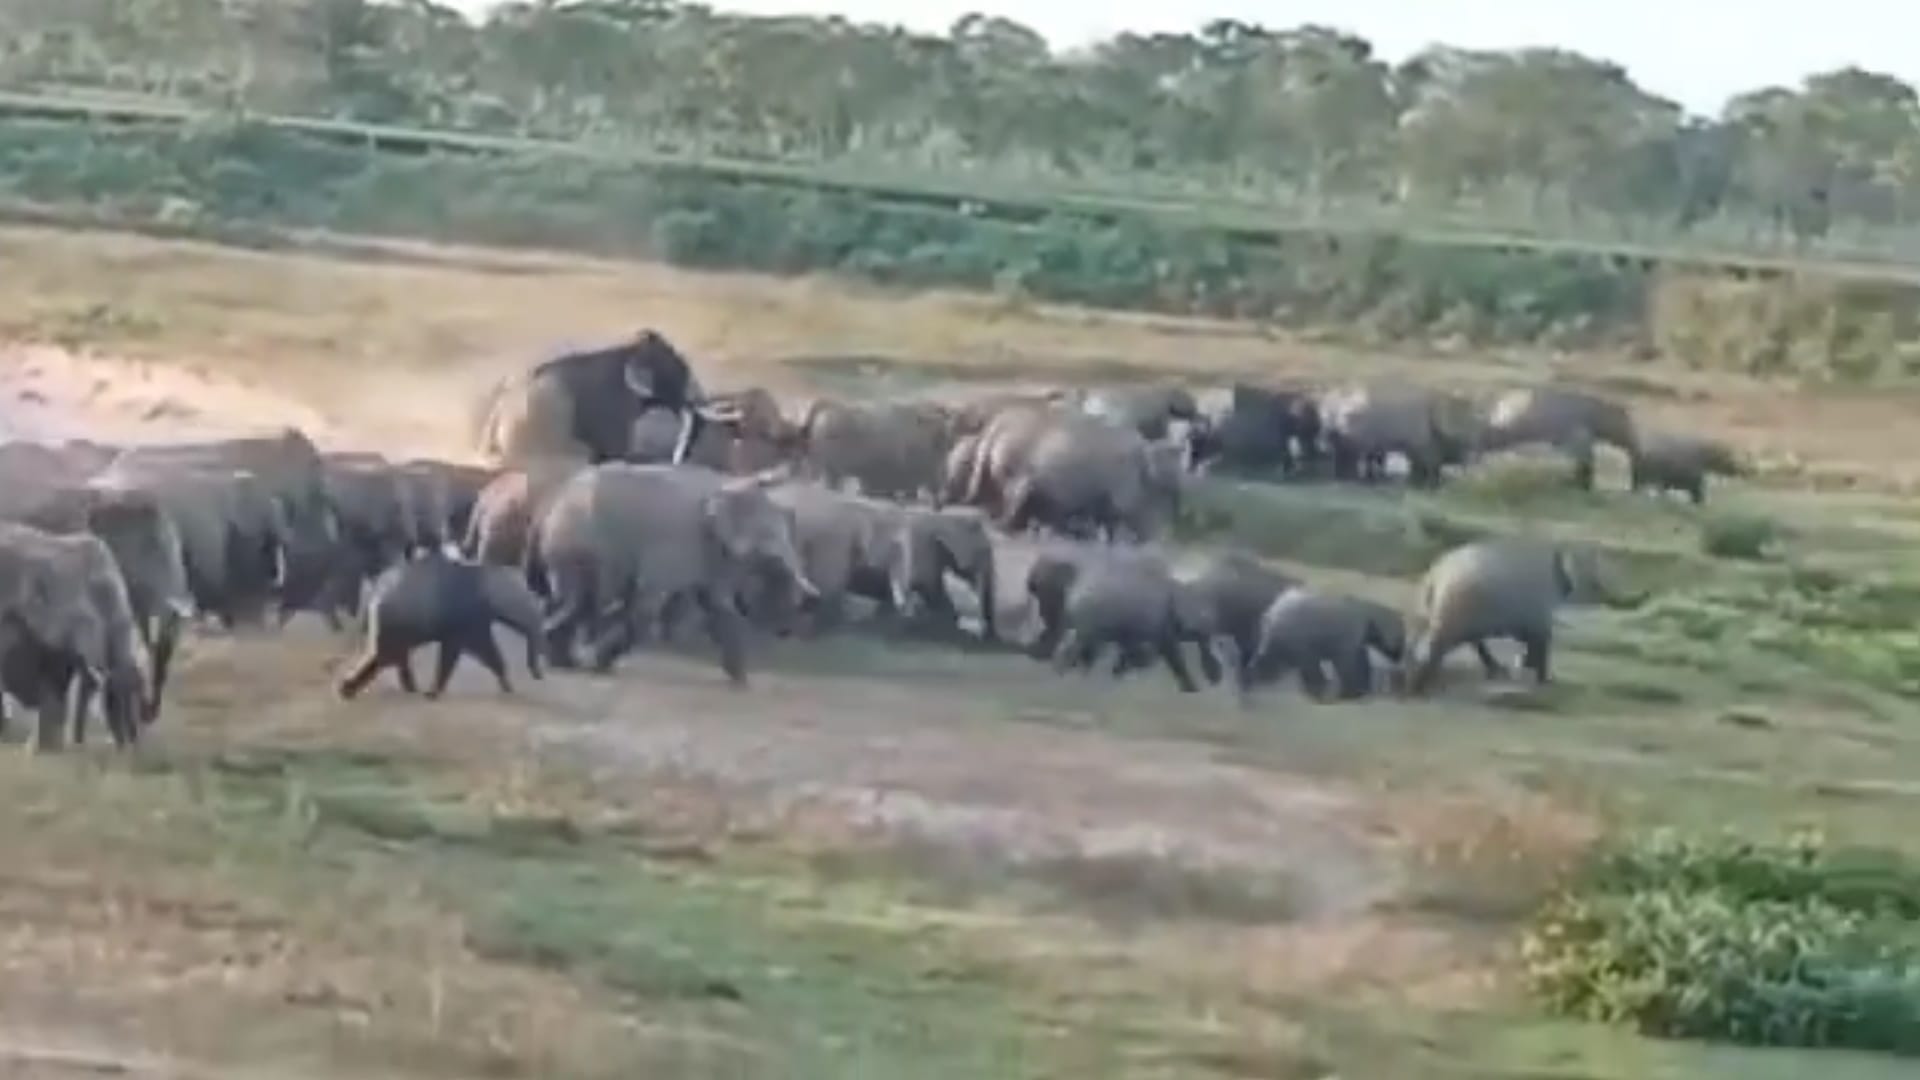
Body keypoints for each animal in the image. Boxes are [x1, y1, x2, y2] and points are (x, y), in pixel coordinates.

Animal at [336, 552, 546, 700]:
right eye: (526, 599)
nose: (538, 675)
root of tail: (374, 598)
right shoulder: (466, 619)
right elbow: (470, 651)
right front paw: (433, 692)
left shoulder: (475, 620)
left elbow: (484, 652)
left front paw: (507, 685)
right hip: (396, 626)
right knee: (386, 657)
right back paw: (351, 688)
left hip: (397, 629)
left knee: (394, 657)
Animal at [533, 463, 818, 684]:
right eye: (771, 546)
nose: (810, 598)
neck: (730, 485)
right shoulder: (677, 539)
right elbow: (649, 605)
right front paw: (599, 664)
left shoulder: (713, 554)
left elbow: (720, 606)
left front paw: (741, 682)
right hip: (577, 542)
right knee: (577, 599)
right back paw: (562, 657)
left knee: (573, 600)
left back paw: (562, 661)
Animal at [1242, 589, 1406, 701]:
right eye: (1402, 637)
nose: (1400, 655)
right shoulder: (1348, 634)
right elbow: (1348, 664)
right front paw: (1349, 693)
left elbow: (1357, 662)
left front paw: (1358, 691)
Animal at [1319, 382, 1481, 487]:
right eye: (1469, 420)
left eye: (1474, 418)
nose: (1469, 478)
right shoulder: (1421, 437)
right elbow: (1427, 460)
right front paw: (1427, 483)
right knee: (1353, 453)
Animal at [1404, 537, 1611, 695]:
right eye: (1592, 570)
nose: (1604, 591)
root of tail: (1435, 577)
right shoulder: (1538, 615)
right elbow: (1542, 644)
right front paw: (1545, 678)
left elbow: (1531, 645)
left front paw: (1524, 666)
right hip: (1455, 615)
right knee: (1435, 648)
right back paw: (1418, 685)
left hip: (1429, 615)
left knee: (1421, 643)